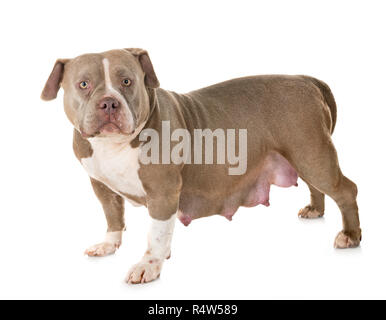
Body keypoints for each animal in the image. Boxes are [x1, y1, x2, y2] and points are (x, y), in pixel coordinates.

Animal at [40, 47, 360, 282]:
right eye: (83, 84)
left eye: (126, 81)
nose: (108, 102)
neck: (115, 145)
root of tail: (306, 79)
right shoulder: (101, 185)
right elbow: (113, 215)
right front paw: (109, 244)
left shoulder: (163, 191)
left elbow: (157, 232)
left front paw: (150, 264)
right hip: (302, 155)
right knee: (315, 186)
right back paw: (315, 210)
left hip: (313, 154)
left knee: (345, 190)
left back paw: (350, 236)